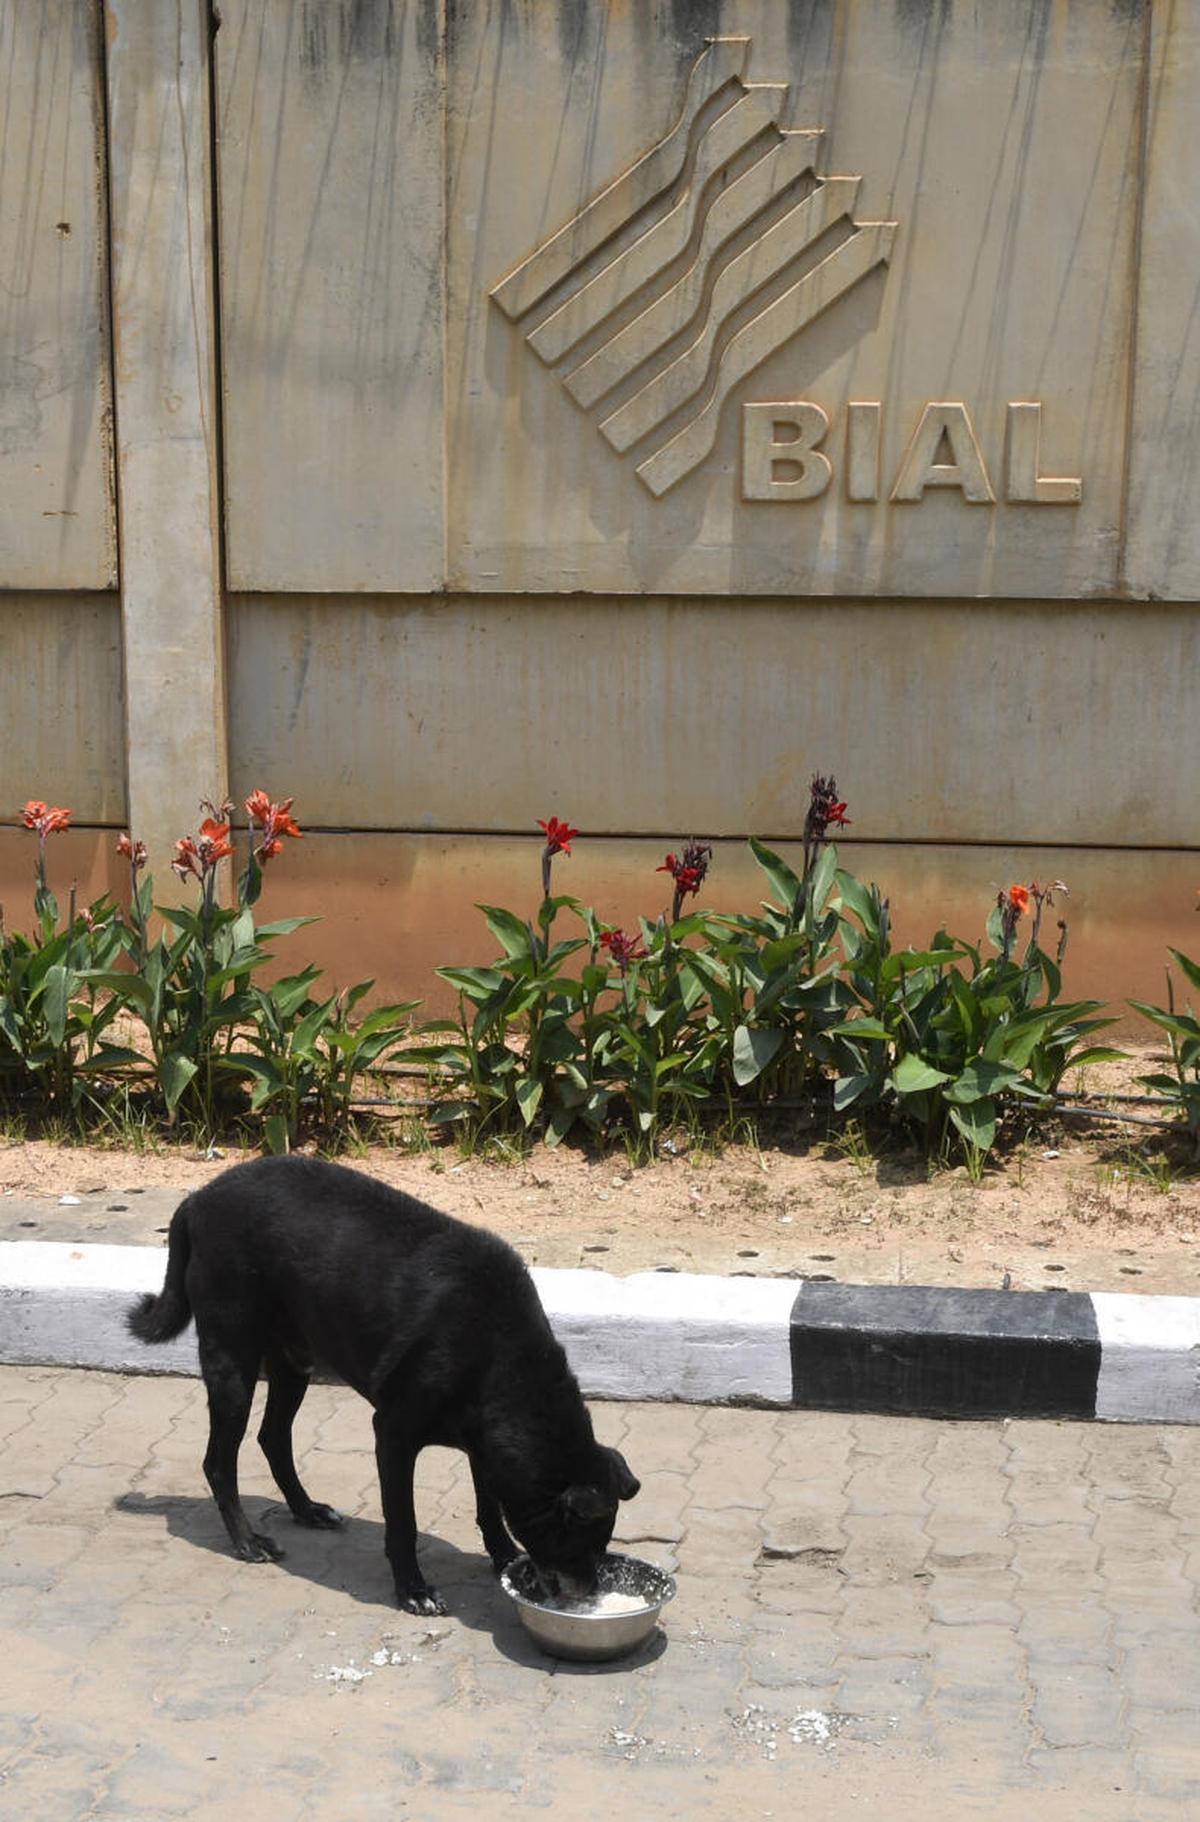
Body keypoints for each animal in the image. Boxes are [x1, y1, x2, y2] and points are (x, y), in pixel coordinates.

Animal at [128, 1158, 644, 1617]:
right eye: (583, 1541)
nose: (588, 1594)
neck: (499, 1353)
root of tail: (198, 1198)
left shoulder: (486, 1441)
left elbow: (489, 1505)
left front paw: (504, 1557)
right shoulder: (394, 1434)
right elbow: (403, 1523)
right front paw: (412, 1590)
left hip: (294, 1360)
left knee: (272, 1437)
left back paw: (307, 1509)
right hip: (231, 1359)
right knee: (219, 1461)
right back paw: (247, 1541)